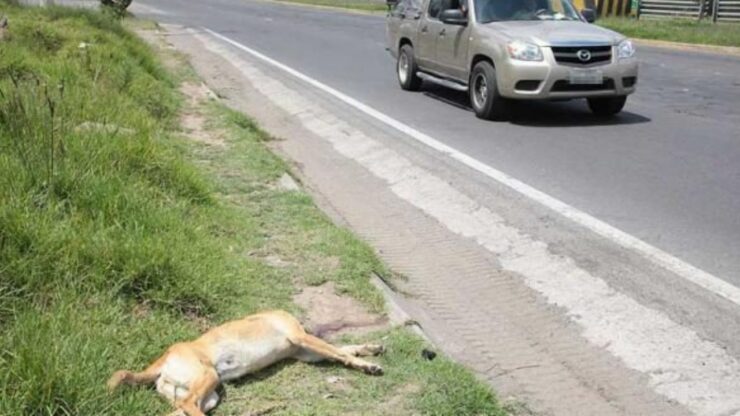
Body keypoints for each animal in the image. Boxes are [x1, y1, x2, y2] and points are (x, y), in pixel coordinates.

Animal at [108, 310, 388, 414]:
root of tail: (163, 359)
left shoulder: (306, 351)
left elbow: (344, 349)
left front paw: (371, 350)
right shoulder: (301, 338)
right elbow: (340, 352)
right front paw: (366, 363)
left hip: (208, 395)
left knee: (181, 409)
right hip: (208, 377)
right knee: (189, 406)